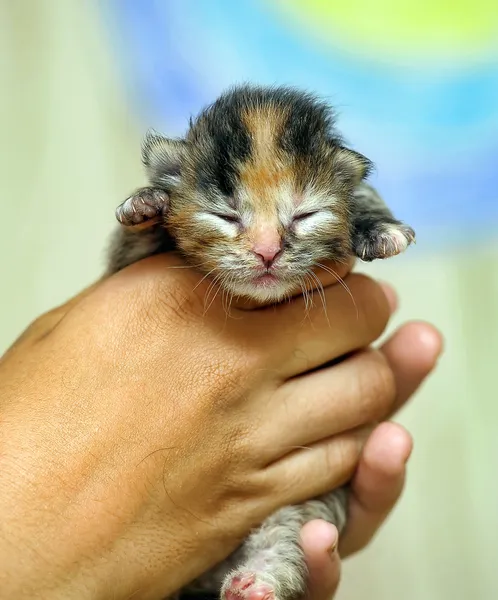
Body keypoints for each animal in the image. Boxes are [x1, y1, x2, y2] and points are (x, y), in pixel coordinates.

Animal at [107, 84, 414, 600]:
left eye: (305, 214)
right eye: (225, 215)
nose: (267, 251)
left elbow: (363, 194)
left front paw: (378, 225)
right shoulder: (117, 265)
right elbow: (132, 235)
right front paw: (147, 203)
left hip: (296, 507)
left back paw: (257, 582)